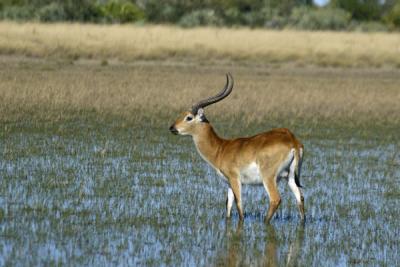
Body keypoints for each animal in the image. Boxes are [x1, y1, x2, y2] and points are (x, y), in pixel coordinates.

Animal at [168, 74, 304, 224]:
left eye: (189, 117)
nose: (172, 128)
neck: (221, 149)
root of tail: (292, 140)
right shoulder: (228, 183)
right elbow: (228, 205)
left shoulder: (235, 179)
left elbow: (239, 206)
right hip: (290, 177)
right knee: (300, 198)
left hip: (268, 178)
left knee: (275, 199)